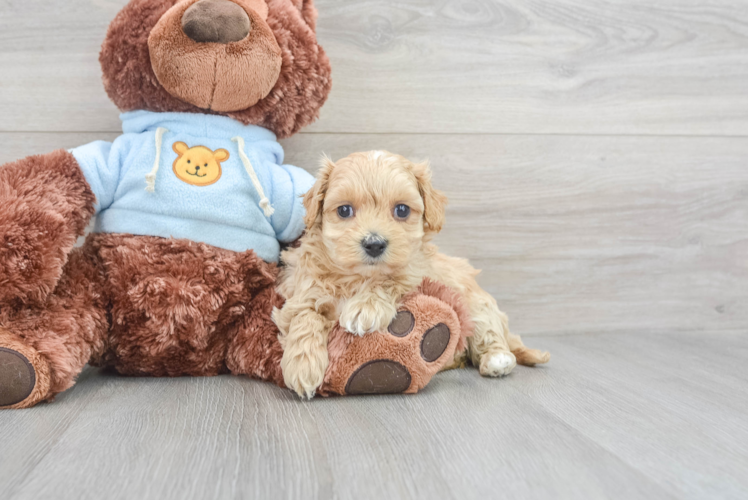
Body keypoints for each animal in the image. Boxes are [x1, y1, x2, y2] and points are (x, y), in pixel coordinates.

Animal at [274, 151, 548, 398]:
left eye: (402, 210)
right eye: (344, 211)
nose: (374, 244)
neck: (359, 276)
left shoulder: (416, 271)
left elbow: (392, 279)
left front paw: (365, 307)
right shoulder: (305, 288)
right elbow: (304, 316)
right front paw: (303, 367)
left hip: (477, 304)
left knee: (489, 333)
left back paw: (497, 359)